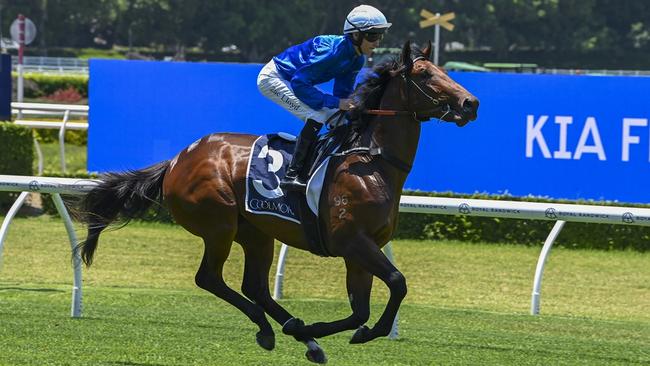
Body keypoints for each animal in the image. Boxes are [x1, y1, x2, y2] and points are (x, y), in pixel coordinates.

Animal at [74, 40, 476, 364]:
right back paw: (271, 330)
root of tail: (176, 160)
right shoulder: (352, 242)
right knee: (210, 278)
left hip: (256, 232)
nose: (470, 103)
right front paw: (343, 331)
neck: (371, 161)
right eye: (425, 75)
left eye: (443, 70)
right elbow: (397, 281)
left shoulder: (361, 248)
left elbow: (361, 311)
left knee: (256, 288)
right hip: (219, 225)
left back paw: (301, 336)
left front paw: (329, 331)